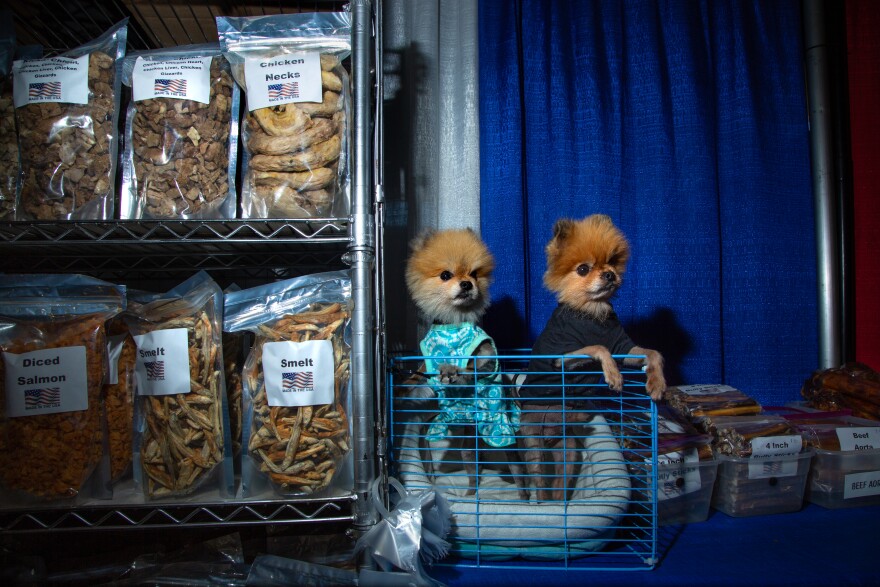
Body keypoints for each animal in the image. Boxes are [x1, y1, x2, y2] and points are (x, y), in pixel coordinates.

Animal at [402, 227, 524, 498]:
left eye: (475, 274)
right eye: (445, 275)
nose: (467, 283)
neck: (452, 325)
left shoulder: (485, 356)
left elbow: (474, 367)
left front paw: (455, 370)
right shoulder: (427, 366)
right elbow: (421, 373)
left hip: (498, 431)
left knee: (514, 465)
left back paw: (526, 498)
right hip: (455, 431)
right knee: (466, 462)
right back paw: (466, 492)